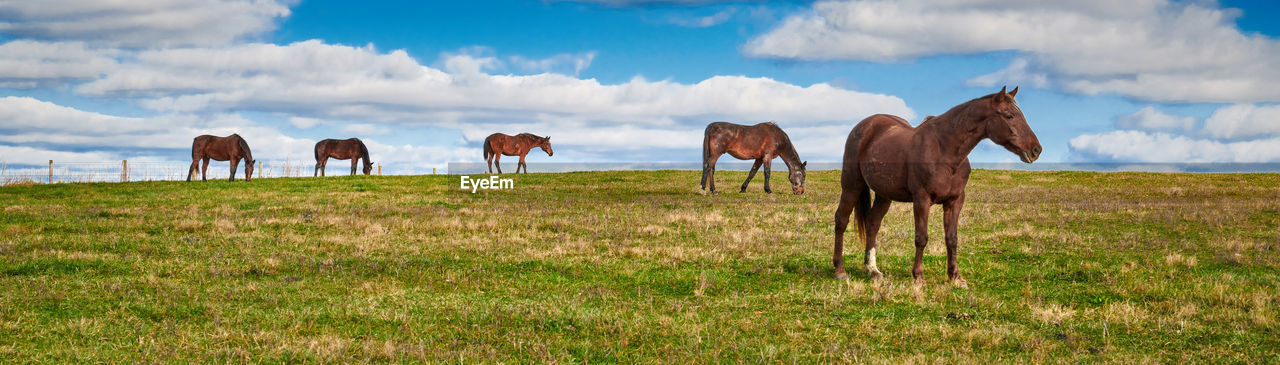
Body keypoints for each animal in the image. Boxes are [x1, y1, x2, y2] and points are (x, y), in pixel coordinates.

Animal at [829, 86, 1039, 285]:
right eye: (1009, 115)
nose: (1036, 149)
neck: (944, 149)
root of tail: (865, 125)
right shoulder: (922, 199)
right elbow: (921, 238)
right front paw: (918, 277)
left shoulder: (955, 201)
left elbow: (952, 239)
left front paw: (955, 277)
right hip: (851, 185)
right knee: (841, 220)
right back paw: (840, 270)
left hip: (884, 194)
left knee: (873, 224)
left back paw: (873, 270)